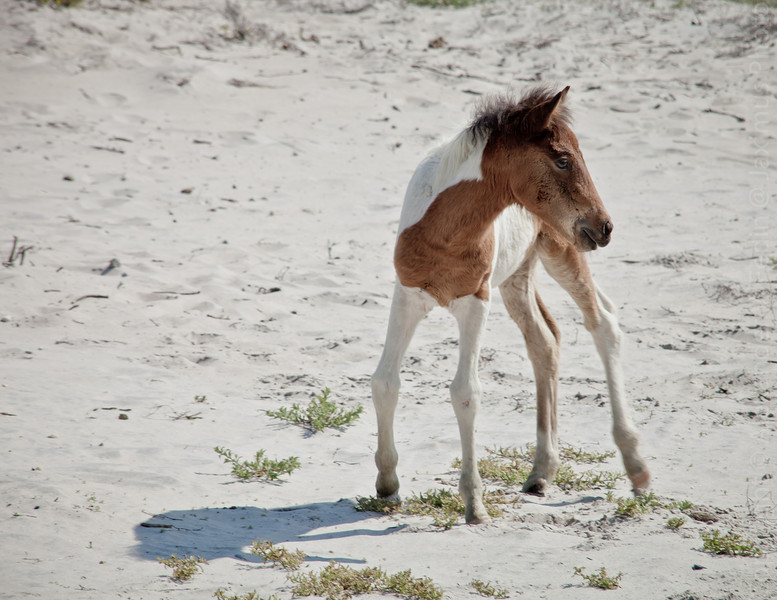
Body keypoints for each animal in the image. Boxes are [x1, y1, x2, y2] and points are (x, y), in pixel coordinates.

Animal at [370, 86, 648, 524]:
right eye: (563, 160)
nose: (605, 226)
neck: (444, 233)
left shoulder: (475, 302)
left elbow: (465, 392)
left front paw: (474, 503)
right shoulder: (407, 295)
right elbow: (385, 382)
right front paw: (387, 484)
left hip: (562, 250)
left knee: (602, 321)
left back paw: (635, 466)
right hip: (518, 274)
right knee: (545, 341)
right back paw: (541, 472)